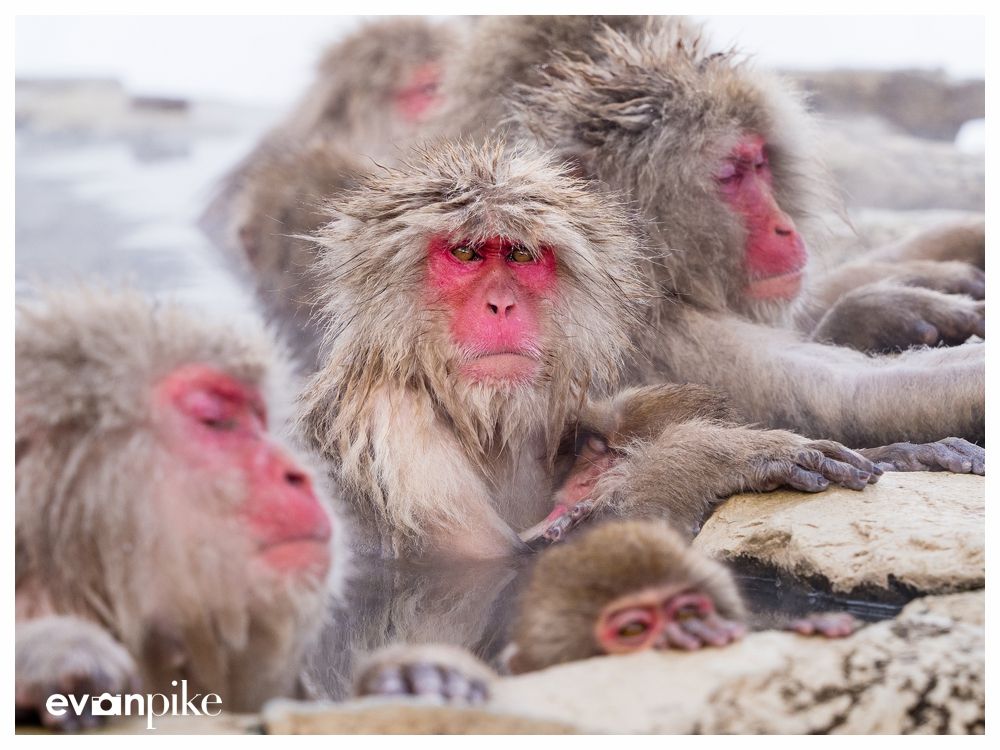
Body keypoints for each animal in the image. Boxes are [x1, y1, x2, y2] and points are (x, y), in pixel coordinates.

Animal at [297, 139, 886, 561]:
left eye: (520, 255)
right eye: (465, 252)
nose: (500, 305)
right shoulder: (393, 435)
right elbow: (498, 567)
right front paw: (708, 459)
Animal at [493, 17, 985, 448]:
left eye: (761, 163)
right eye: (731, 175)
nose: (784, 227)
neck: (656, 284)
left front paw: (937, 264)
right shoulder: (666, 345)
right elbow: (854, 397)